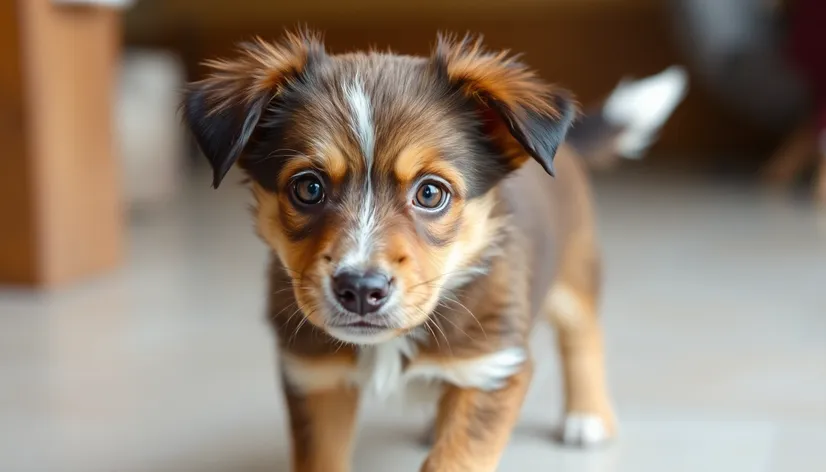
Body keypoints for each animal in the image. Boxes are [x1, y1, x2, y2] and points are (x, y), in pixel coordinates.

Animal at [183, 30, 684, 472]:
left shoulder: (493, 368)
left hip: (575, 271)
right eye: (308, 188)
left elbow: (456, 457)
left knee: (583, 336)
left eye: (430, 193)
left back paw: (588, 416)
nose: (360, 289)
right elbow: (322, 459)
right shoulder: (314, 378)